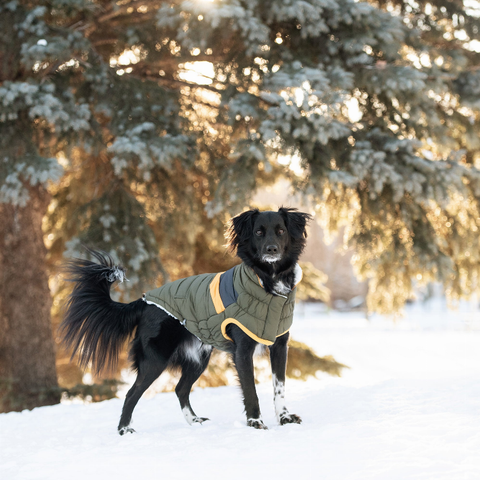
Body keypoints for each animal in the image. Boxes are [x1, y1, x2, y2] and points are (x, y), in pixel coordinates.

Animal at [60, 208, 312, 434]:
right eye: (259, 232)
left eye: (281, 231)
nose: (272, 249)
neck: (268, 283)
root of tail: (144, 301)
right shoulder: (243, 350)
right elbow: (251, 390)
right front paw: (255, 422)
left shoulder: (280, 346)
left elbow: (279, 387)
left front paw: (284, 418)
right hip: (155, 359)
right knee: (132, 393)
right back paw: (124, 429)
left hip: (199, 356)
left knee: (180, 389)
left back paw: (194, 421)